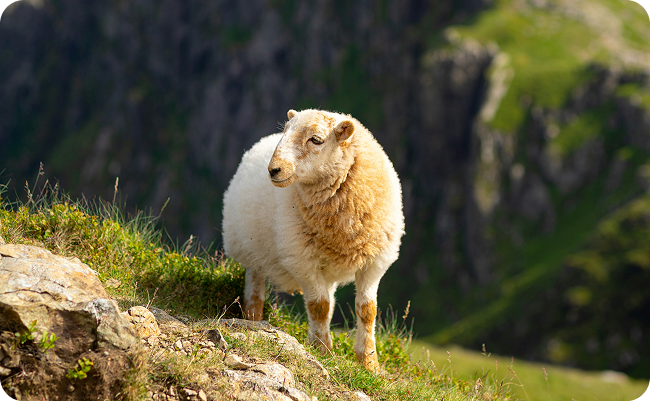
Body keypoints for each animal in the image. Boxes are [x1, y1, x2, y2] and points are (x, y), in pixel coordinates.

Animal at [222, 108, 405, 371]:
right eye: (285, 131)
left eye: (316, 140)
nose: (273, 170)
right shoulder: (301, 259)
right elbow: (319, 307)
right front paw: (322, 352)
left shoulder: (375, 261)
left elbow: (367, 310)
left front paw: (369, 363)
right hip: (250, 249)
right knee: (255, 286)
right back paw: (253, 318)